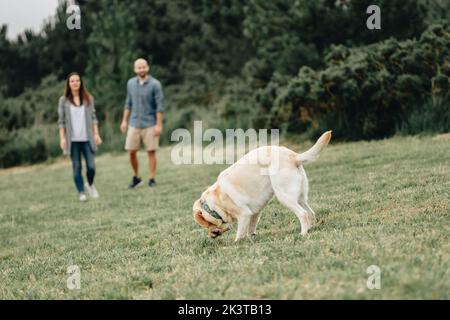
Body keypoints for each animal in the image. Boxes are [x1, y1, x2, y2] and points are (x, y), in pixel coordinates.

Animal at [192, 130, 332, 240]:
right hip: (300, 197)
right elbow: (251, 229)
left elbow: (239, 234)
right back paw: (310, 230)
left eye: (208, 225)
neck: (213, 205)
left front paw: (236, 243)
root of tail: (294, 156)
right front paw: (252, 238)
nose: (211, 236)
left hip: (284, 197)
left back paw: (303, 233)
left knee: (303, 214)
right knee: (310, 213)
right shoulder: (255, 212)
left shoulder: (244, 214)